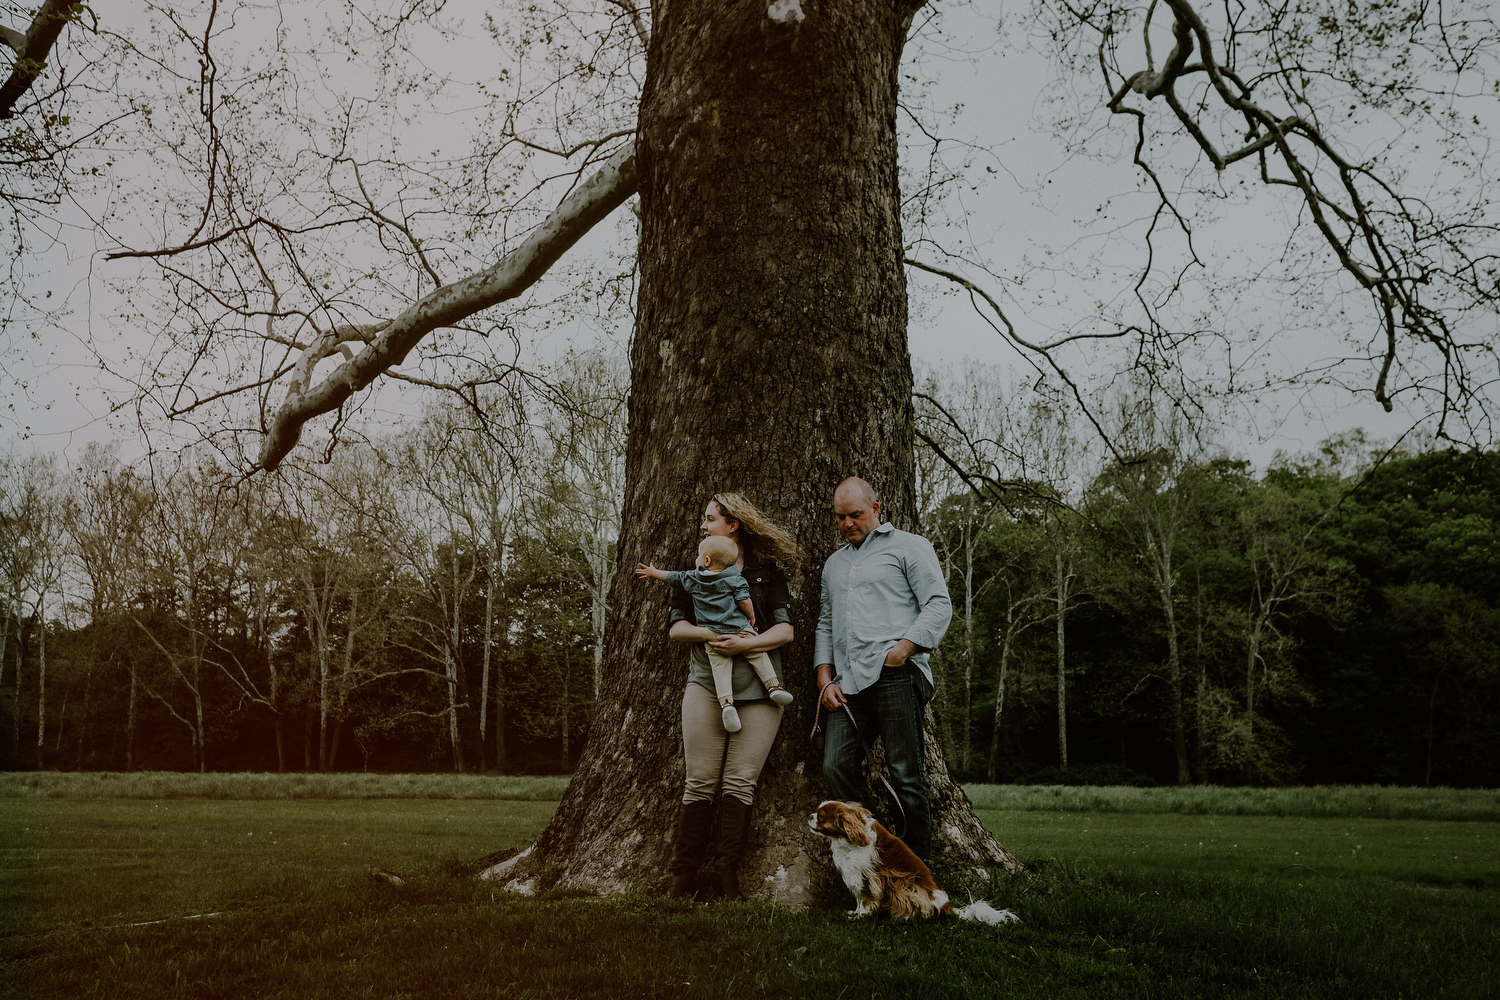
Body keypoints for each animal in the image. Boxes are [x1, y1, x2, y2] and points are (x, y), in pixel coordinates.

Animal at [810, 803, 1020, 929]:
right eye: (816, 813)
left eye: (821, 817)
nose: (810, 815)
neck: (847, 839)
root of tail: (948, 907)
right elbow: (858, 899)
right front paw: (854, 913)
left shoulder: (868, 876)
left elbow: (865, 900)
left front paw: (860, 916)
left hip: (906, 886)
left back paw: (904, 917)